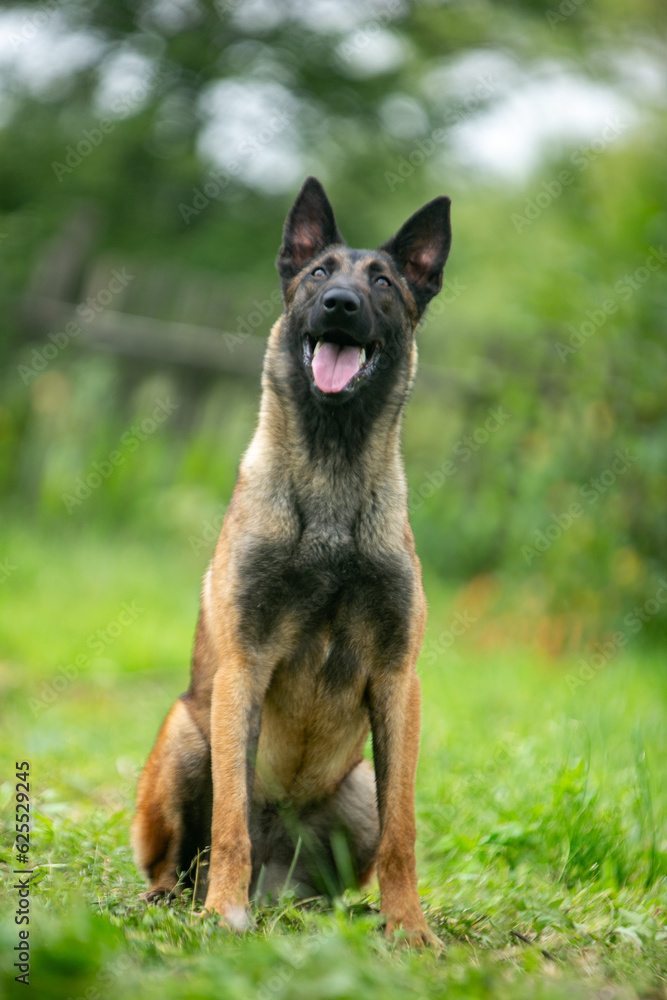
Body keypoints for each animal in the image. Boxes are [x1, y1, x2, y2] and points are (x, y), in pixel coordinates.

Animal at [131, 176, 452, 948]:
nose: (339, 304)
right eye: (316, 273)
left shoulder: (397, 681)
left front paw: (408, 926)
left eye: (383, 282)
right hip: (187, 731)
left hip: (356, 785)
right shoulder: (241, 671)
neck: (333, 472)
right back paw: (181, 899)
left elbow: (403, 831)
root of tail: (278, 884)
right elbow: (230, 820)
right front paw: (223, 914)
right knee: (185, 858)